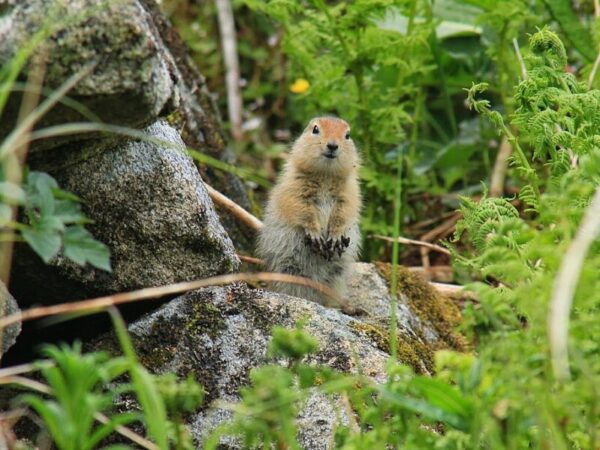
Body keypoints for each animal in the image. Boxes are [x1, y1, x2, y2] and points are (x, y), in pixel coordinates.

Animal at [256, 118, 360, 304]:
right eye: (315, 129)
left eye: (347, 135)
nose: (332, 145)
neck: (325, 175)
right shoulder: (294, 189)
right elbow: (301, 210)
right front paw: (315, 234)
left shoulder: (349, 194)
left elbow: (344, 213)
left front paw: (335, 236)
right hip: (288, 270)